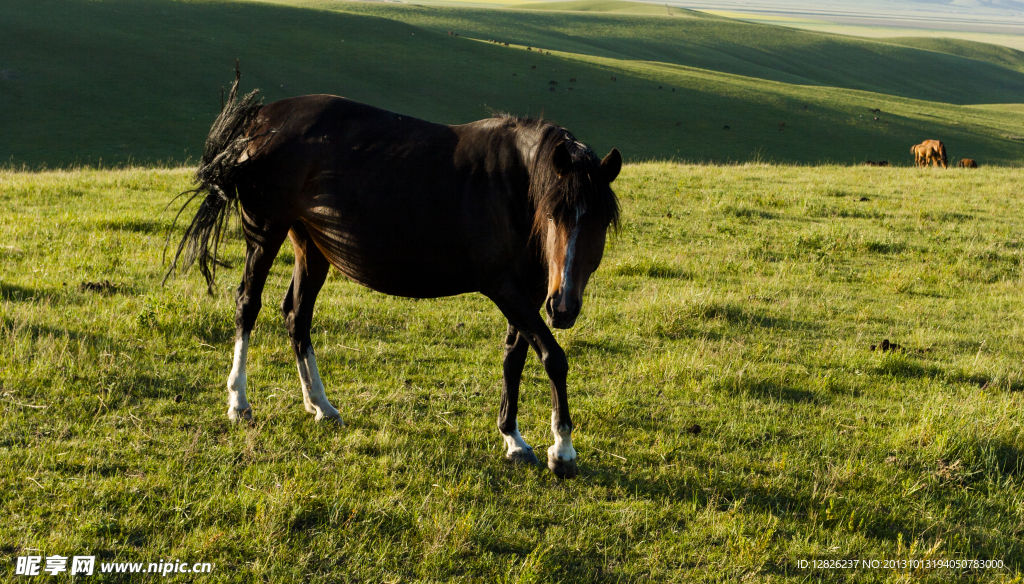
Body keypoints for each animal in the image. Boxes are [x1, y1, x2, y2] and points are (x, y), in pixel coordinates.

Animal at [171, 71, 618, 477]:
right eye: (553, 214)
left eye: (599, 222)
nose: (563, 308)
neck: (511, 187)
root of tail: (259, 121)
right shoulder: (506, 287)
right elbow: (553, 357)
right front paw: (562, 449)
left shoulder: (527, 291)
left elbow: (516, 357)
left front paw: (513, 439)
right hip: (265, 232)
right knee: (248, 304)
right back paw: (239, 403)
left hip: (310, 243)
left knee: (297, 315)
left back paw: (321, 406)